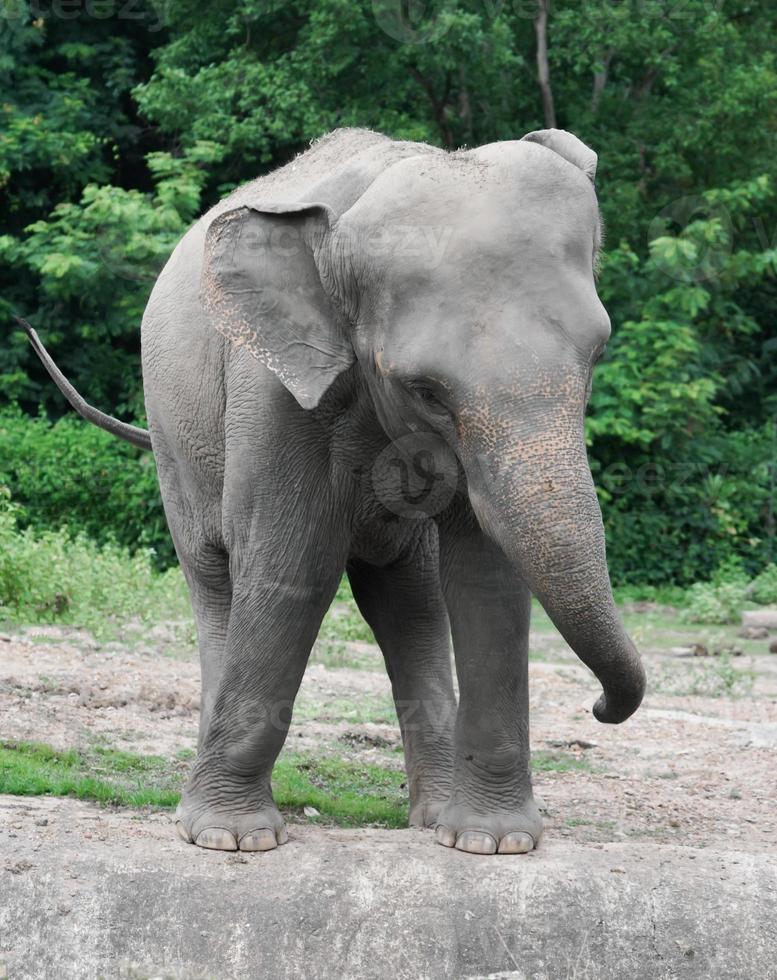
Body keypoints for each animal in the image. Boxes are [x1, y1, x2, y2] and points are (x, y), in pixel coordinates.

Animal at [22, 128, 644, 856]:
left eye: (596, 356)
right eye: (425, 390)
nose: (599, 707)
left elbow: (483, 576)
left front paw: (492, 843)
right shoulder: (275, 387)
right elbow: (291, 565)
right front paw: (233, 840)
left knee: (410, 601)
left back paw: (431, 812)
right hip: (174, 439)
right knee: (215, 577)